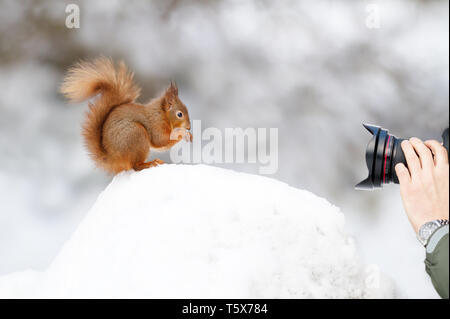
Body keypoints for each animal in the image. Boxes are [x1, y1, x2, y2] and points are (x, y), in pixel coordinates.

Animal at [61, 58, 192, 176]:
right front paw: (183, 133)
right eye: (179, 114)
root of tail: (113, 158)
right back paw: (149, 163)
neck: (161, 114)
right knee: (135, 166)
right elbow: (160, 141)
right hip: (137, 134)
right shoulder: (156, 125)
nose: (189, 127)